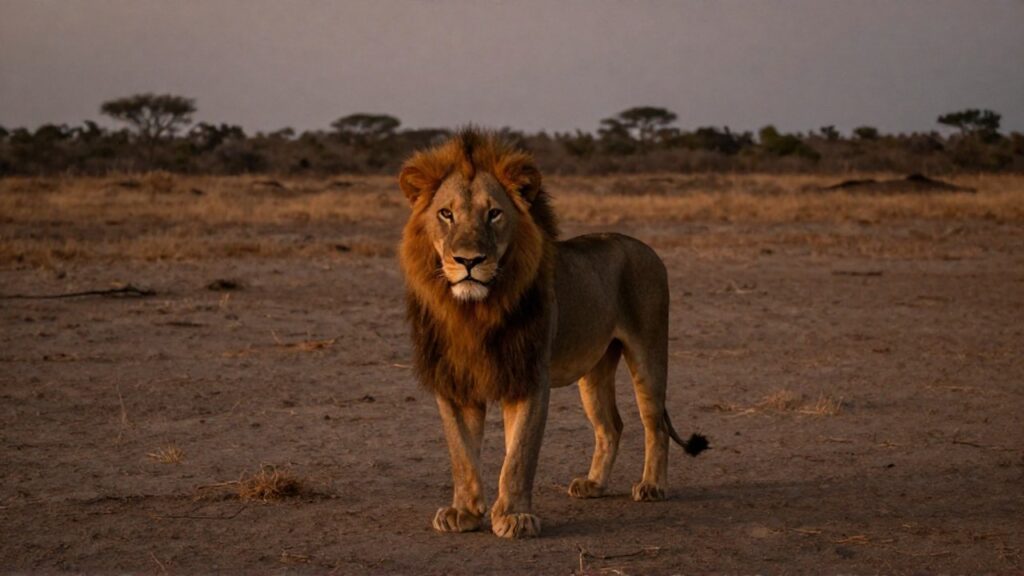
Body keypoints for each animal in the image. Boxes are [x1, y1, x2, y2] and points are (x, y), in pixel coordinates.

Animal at [398, 129, 707, 539]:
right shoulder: (455, 381)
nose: (469, 261)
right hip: (594, 369)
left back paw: (653, 486)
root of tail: (644, 247)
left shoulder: (529, 375)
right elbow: (461, 453)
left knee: (652, 422)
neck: (474, 312)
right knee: (611, 425)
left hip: (649, 350)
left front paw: (514, 516)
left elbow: (519, 456)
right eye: (446, 214)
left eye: (493, 213)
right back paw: (593, 485)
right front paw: (463, 512)